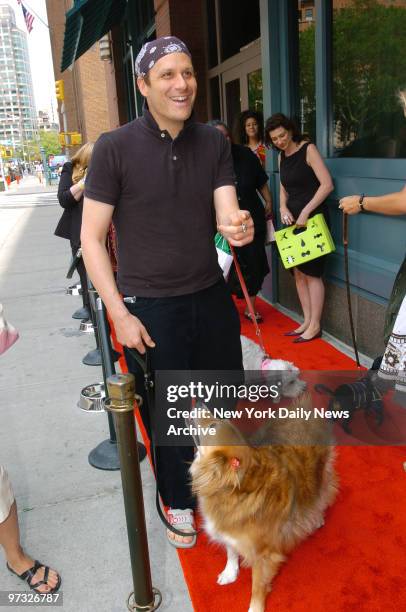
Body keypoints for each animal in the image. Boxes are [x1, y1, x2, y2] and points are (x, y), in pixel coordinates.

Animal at [190, 392, 336, 612]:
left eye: (213, 426)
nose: (199, 401)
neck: (234, 492)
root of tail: (303, 408)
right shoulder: (227, 528)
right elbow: (231, 550)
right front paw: (230, 572)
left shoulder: (264, 556)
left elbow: (257, 588)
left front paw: (255, 608)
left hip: (321, 472)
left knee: (322, 492)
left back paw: (316, 515)